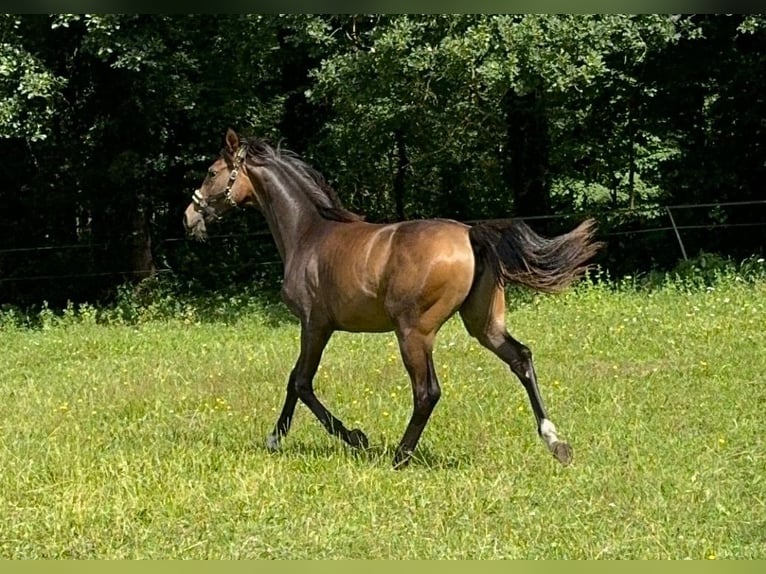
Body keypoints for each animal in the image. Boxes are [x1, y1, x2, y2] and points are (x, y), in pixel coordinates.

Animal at [183, 128, 604, 470]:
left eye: (211, 171)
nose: (189, 216)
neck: (308, 233)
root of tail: (471, 234)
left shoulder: (315, 324)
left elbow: (301, 382)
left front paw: (353, 437)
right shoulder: (316, 327)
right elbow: (294, 381)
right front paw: (277, 437)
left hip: (414, 332)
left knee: (427, 391)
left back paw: (401, 455)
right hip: (483, 324)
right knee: (521, 358)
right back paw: (556, 443)